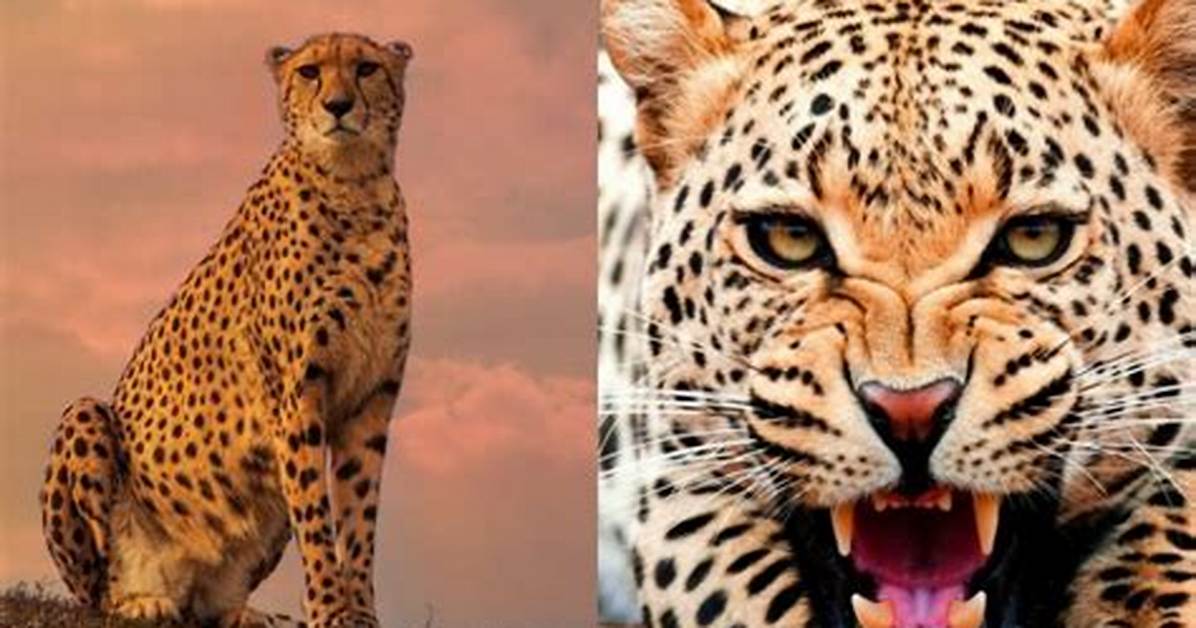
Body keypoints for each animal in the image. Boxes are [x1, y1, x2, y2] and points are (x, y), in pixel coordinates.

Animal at [39, 32, 414, 628]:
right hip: (86, 415)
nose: (338, 106)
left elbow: (358, 519)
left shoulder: (372, 398)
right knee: (97, 583)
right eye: (310, 72)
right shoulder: (297, 398)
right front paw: (329, 610)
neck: (354, 185)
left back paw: (242, 612)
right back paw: (138, 599)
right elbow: (317, 519)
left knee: (209, 604)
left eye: (366, 68)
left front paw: (358, 614)